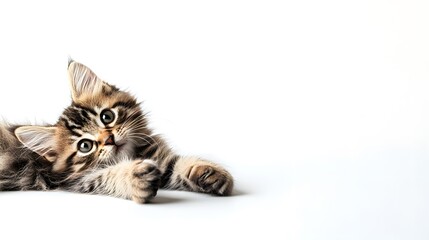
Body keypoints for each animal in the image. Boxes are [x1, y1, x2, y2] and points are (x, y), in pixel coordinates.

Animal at [0, 59, 232, 202]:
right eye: (85, 146)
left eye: (107, 117)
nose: (109, 139)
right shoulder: (76, 180)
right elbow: (109, 174)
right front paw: (135, 178)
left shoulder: (162, 161)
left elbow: (178, 164)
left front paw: (208, 172)